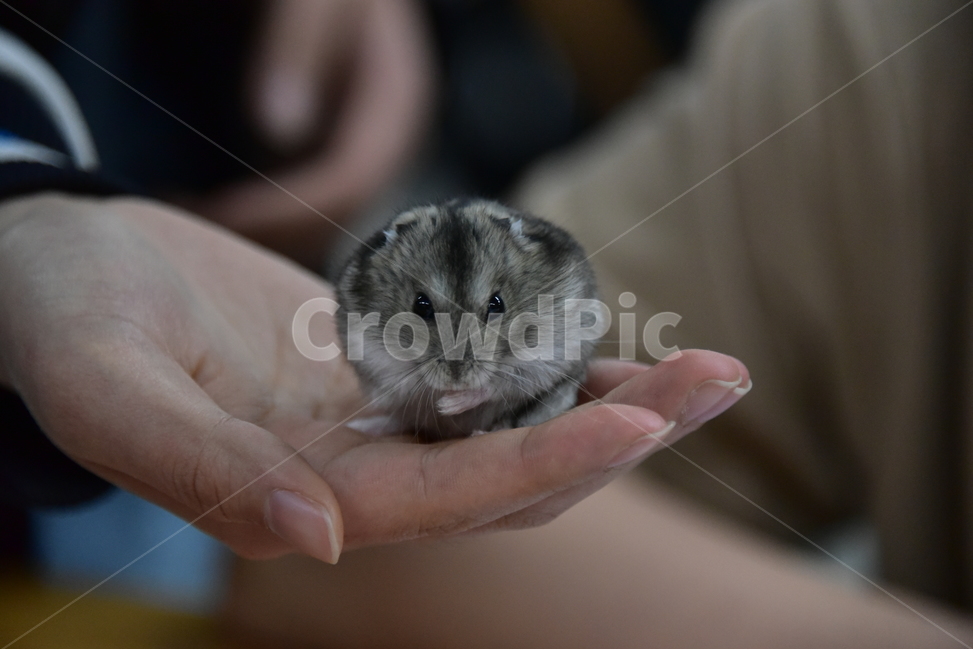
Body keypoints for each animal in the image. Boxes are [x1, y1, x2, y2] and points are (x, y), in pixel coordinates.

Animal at [335, 198, 602, 439]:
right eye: (421, 305)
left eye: (497, 303)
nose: (457, 381)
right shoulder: (375, 361)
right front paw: (444, 403)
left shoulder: (547, 356)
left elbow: (497, 386)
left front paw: (448, 405)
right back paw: (363, 426)